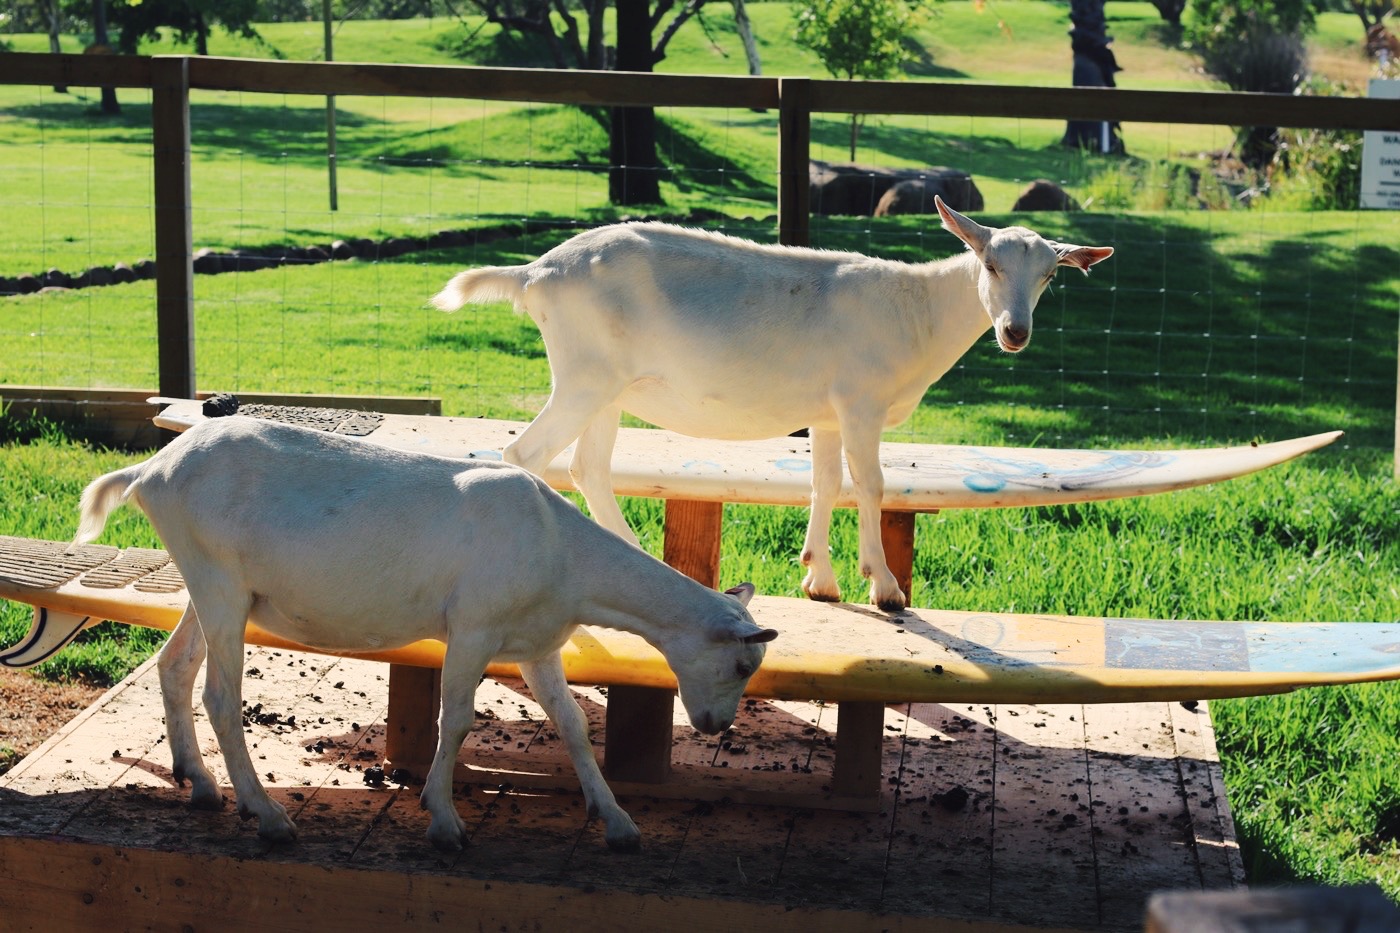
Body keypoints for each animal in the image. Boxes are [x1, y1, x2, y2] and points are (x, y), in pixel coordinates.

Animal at [73, 416, 776, 852]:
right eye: (743, 666)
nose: (714, 725)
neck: (562, 549)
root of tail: (152, 469)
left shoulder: (539, 643)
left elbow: (574, 724)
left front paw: (620, 823)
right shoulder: (473, 628)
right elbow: (457, 718)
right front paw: (445, 822)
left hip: (214, 585)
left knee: (176, 666)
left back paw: (199, 783)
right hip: (216, 577)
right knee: (220, 695)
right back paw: (268, 817)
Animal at [431, 198, 1112, 611]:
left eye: (1050, 275)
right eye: (989, 263)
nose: (1015, 332)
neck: (916, 310)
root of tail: (535, 274)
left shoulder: (829, 412)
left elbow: (826, 482)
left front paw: (821, 579)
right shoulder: (862, 403)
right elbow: (871, 483)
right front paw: (885, 587)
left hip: (605, 387)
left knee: (586, 467)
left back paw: (639, 562)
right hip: (583, 376)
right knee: (525, 454)